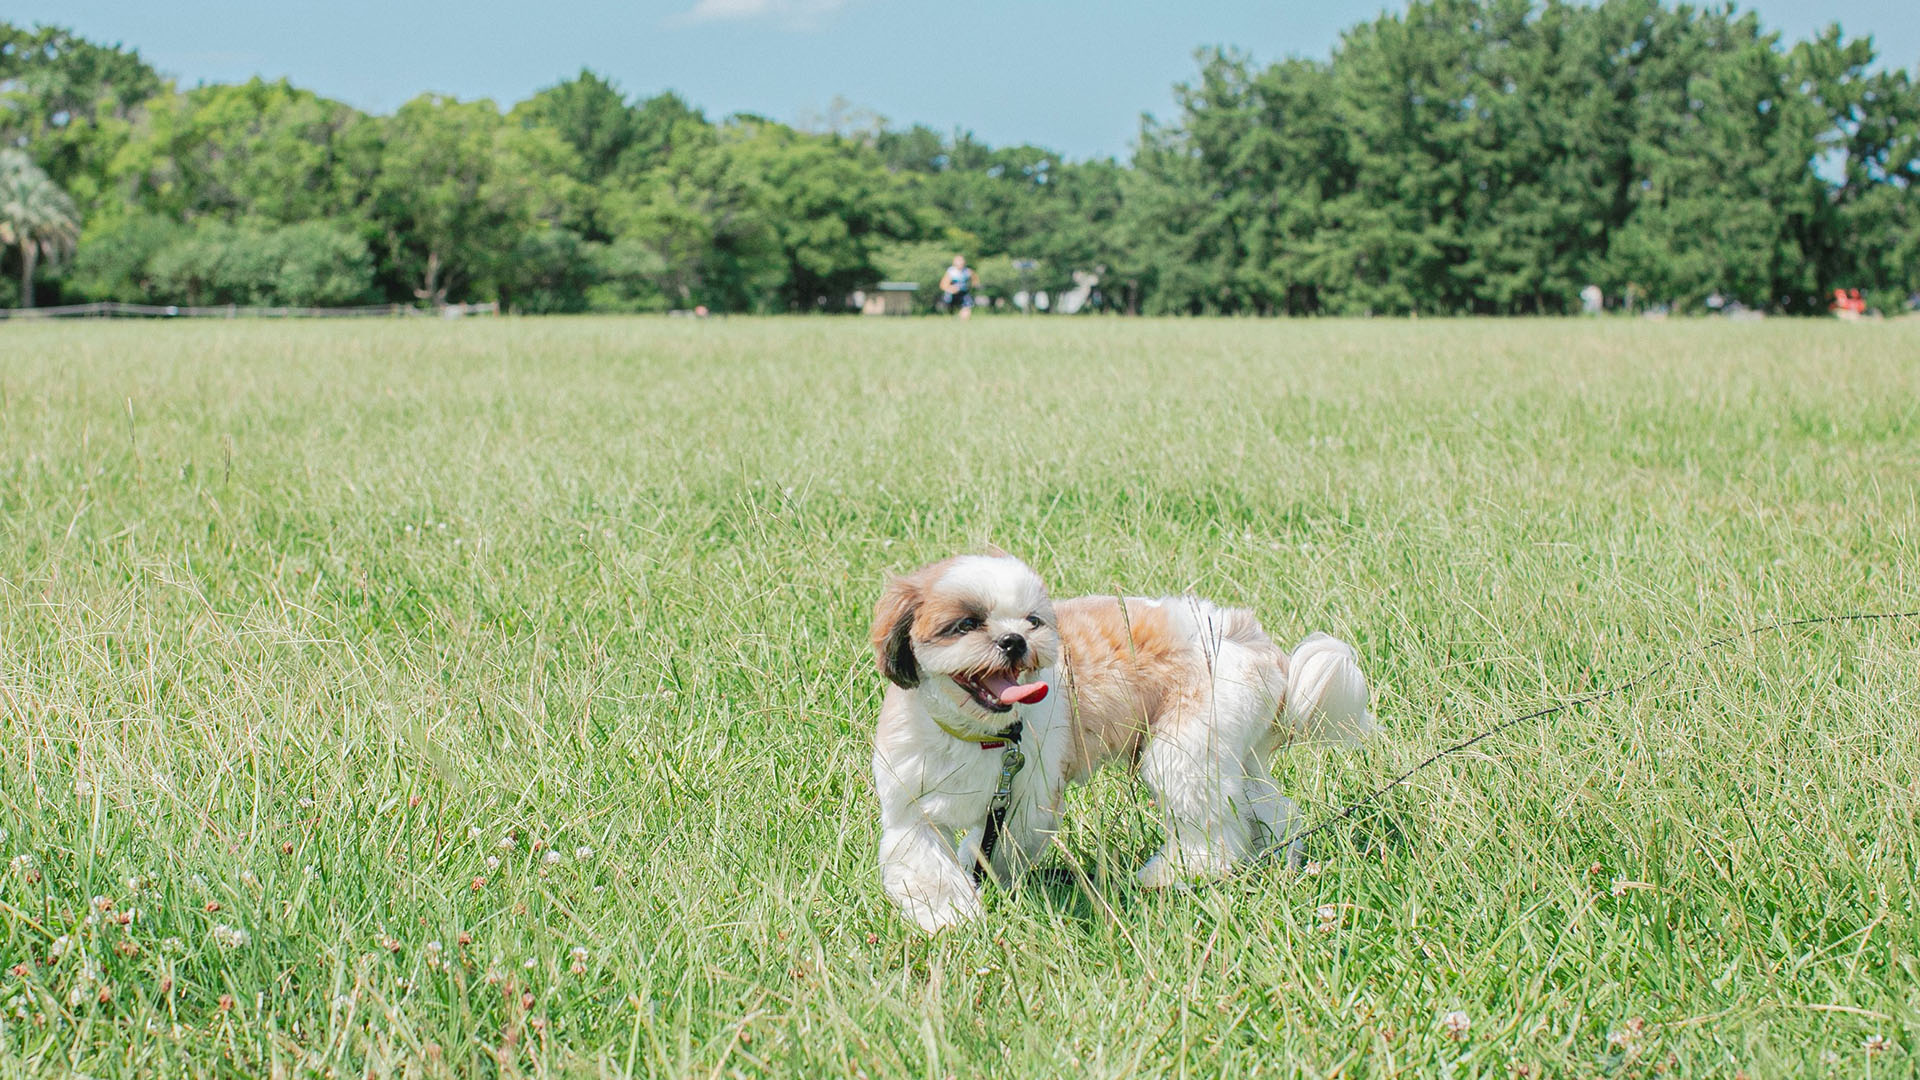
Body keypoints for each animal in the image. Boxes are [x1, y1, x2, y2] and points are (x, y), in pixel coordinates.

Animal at [871, 549, 1382, 930]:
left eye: (1033, 620)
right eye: (966, 624)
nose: (1015, 640)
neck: (980, 735)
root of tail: (1249, 637)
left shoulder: (1023, 798)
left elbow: (998, 845)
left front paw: (981, 887)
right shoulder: (909, 806)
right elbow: (924, 863)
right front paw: (946, 915)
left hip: (1186, 748)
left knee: (1211, 827)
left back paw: (1174, 872)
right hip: (1237, 748)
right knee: (1270, 808)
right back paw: (1277, 854)